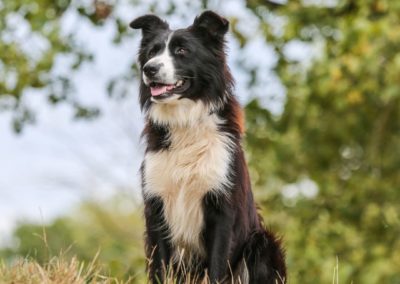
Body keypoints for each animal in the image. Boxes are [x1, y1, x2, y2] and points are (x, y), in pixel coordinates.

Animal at [130, 10, 286, 284]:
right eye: (152, 52)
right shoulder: (157, 207)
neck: (185, 121)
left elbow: (216, 265)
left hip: (263, 243)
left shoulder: (222, 209)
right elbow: (160, 266)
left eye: (182, 50)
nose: (149, 69)